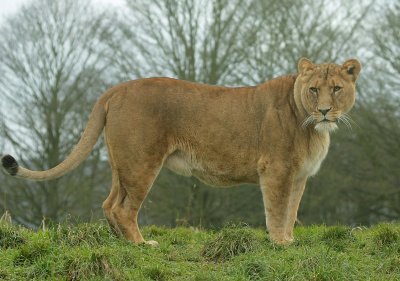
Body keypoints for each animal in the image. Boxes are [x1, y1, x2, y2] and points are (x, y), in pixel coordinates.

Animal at [0, 58, 362, 244]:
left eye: (336, 89)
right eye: (314, 89)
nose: (325, 110)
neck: (312, 126)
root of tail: (117, 88)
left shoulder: (298, 176)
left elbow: (291, 211)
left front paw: (288, 241)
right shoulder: (275, 170)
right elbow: (277, 211)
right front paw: (279, 244)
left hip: (121, 164)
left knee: (109, 203)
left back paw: (121, 242)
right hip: (141, 162)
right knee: (123, 208)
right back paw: (141, 245)